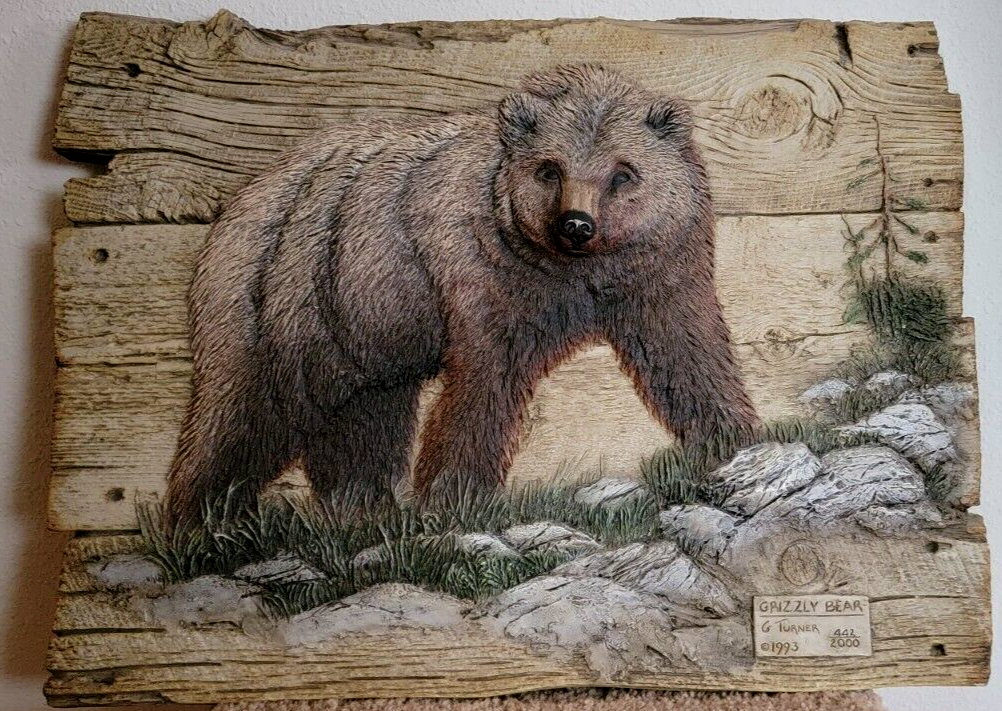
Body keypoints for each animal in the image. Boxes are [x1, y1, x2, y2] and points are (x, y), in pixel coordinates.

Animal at [163, 64, 760, 531]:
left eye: (623, 173)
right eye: (550, 168)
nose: (576, 224)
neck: (577, 274)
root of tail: (238, 202)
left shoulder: (658, 270)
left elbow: (685, 351)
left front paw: (730, 438)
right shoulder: (484, 274)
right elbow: (483, 384)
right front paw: (458, 495)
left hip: (360, 328)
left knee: (365, 418)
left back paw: (361, 509)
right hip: (282, 297)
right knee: (244, 414)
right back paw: (203, 522)